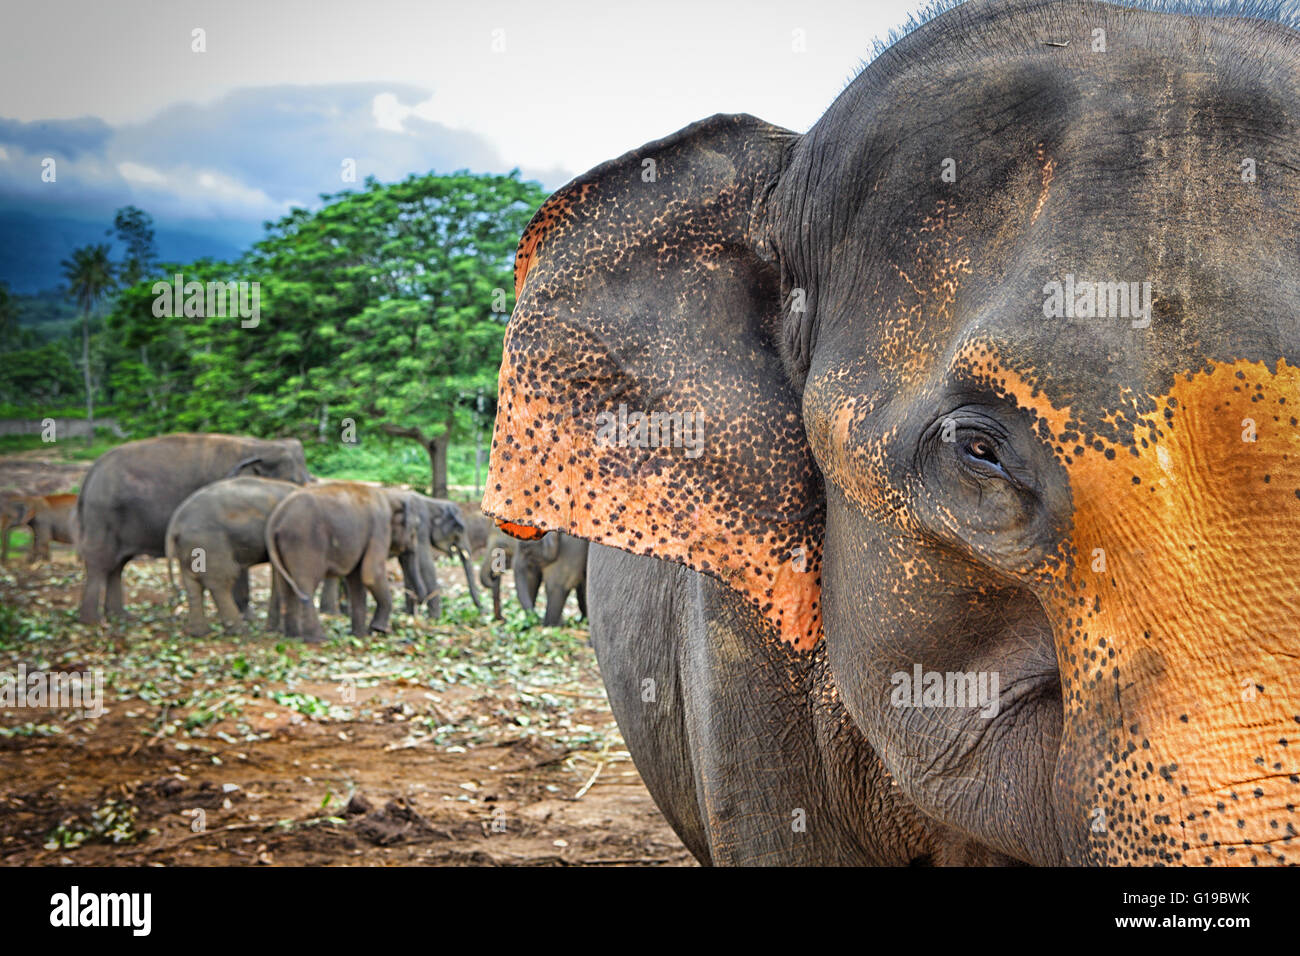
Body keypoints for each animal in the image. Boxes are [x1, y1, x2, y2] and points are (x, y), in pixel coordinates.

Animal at [163, 476, 297, 634]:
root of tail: (175, 524)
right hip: (210, 543)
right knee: (223, 579)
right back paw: (239, 630)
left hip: (190, 547)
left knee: (192, 583)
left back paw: (199, 633)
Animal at [265, 478, 421, 642]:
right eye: (415, 528)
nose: (418, 602)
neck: (390, 494)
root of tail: (275, 519)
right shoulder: (380, 527)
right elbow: (371, 574)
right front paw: (379, 630)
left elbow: (357, 579)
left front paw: (359, 636)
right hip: (303, 542)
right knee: (306, 585)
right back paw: (318, 638)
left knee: (286, 587)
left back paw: (293, 637)